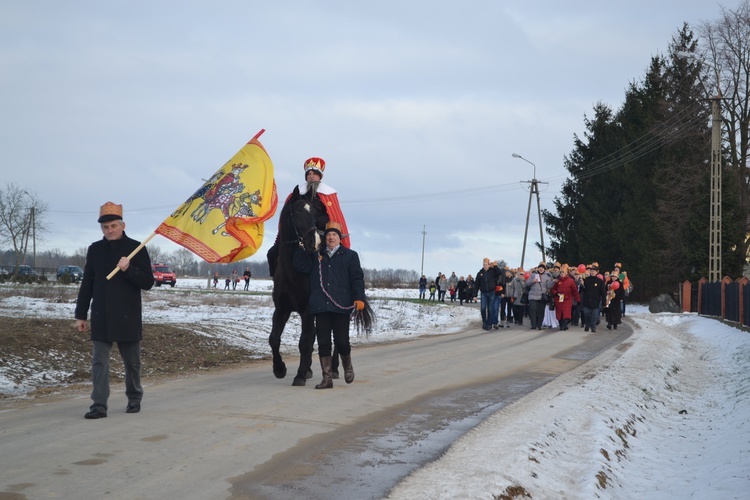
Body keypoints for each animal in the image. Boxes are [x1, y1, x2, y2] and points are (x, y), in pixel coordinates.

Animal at [268, 186, 376, 384]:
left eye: (314, 212)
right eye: (297, 212)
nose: (314, 242)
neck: (292, 271)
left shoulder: (307, 310)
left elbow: (305, 341)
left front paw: (300, 375)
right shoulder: (282, 309)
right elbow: (274, 339)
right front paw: (279, 369)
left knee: (337, 338)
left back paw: (333, 369)